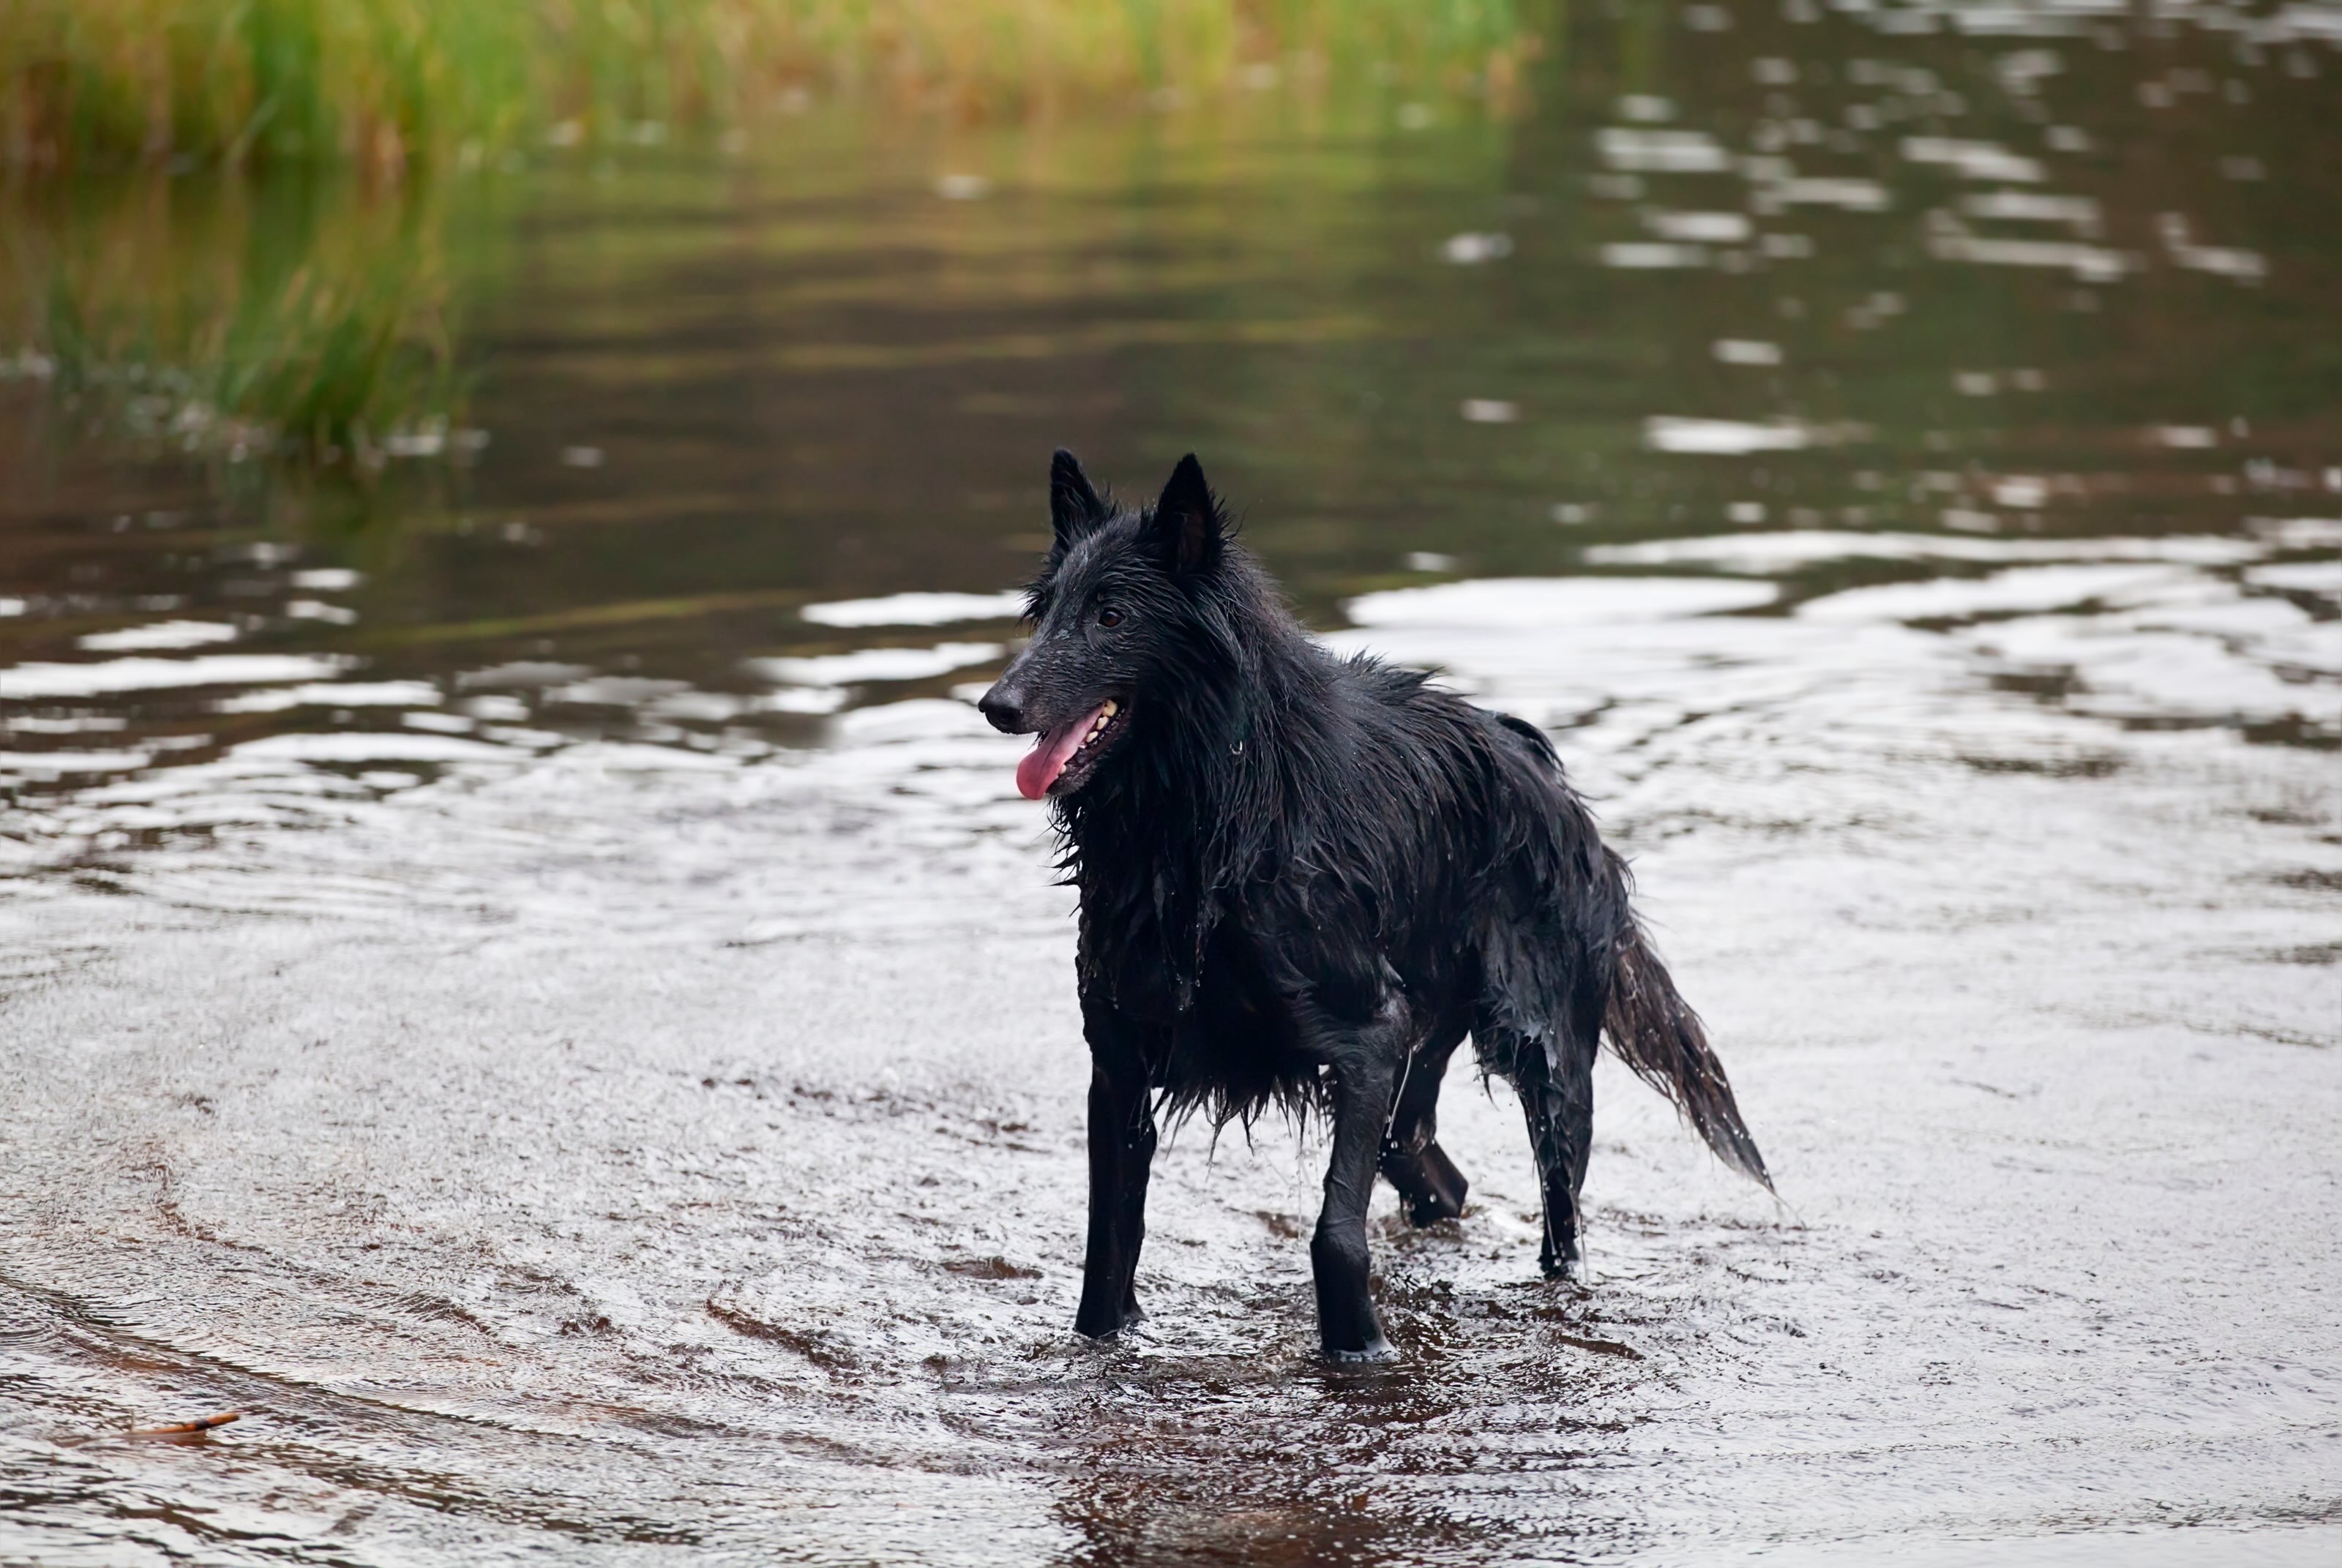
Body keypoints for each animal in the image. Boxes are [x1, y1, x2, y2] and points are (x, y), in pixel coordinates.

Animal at [979, 451, 1761, 1366]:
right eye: (1044, 613)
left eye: (1110, 614)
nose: (996, 705)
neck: (1209, 827)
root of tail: (1543, 771)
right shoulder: (1121, 1059)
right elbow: (1107, 1248)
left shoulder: (1365, 1038)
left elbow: (1334, 1234)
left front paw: (1358, 1349)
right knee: (1436, 1175)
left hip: (1543, 1062)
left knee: (1556, 1223)